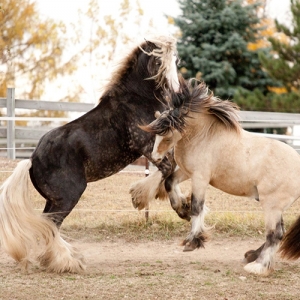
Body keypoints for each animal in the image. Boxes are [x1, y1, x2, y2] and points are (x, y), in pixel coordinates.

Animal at [0, 36, 183, 274]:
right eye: (162, 60)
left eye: (175, 60)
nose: (176, 91)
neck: (136, 101)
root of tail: (31, 160)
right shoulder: (146, 146)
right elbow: (168, 167)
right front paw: (140, 197)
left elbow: (174, 165)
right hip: (69, 196)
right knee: (51, 224)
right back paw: (67, 262)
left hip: (54, 199)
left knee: (47, 223)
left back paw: (62, 259)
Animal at [142, 78, 300, 276]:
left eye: (168, 135)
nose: (155, 157)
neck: (205, 137)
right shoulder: (186, 172)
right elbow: (170, 183)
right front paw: (182, 210)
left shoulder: (200, 178)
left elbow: (197, 207)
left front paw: (192, 241)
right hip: (276, 208)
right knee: (280, 232)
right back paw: (251, 256)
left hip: (272, 206)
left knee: (275, 234)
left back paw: (257, 266)